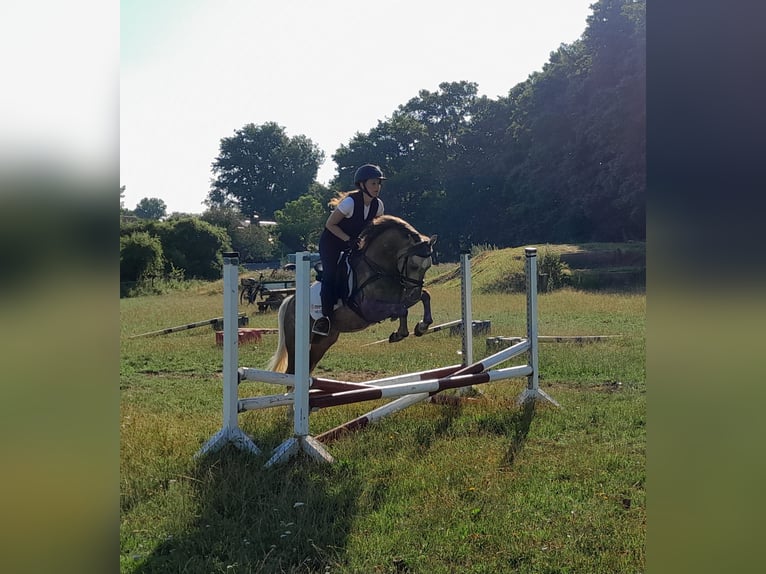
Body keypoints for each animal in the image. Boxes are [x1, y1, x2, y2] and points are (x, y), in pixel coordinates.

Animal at [267, 215, 437, 374]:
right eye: (413, 266)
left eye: (428, 267)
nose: (413, 294)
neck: (379, 268)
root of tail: (291, 300)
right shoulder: (369, 309)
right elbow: (403, 309)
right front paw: (399, 334)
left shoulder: (400, 298)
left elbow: (424, 297)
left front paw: (421, 327)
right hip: (296, 341)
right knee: (291, 372)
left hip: (322, 342)